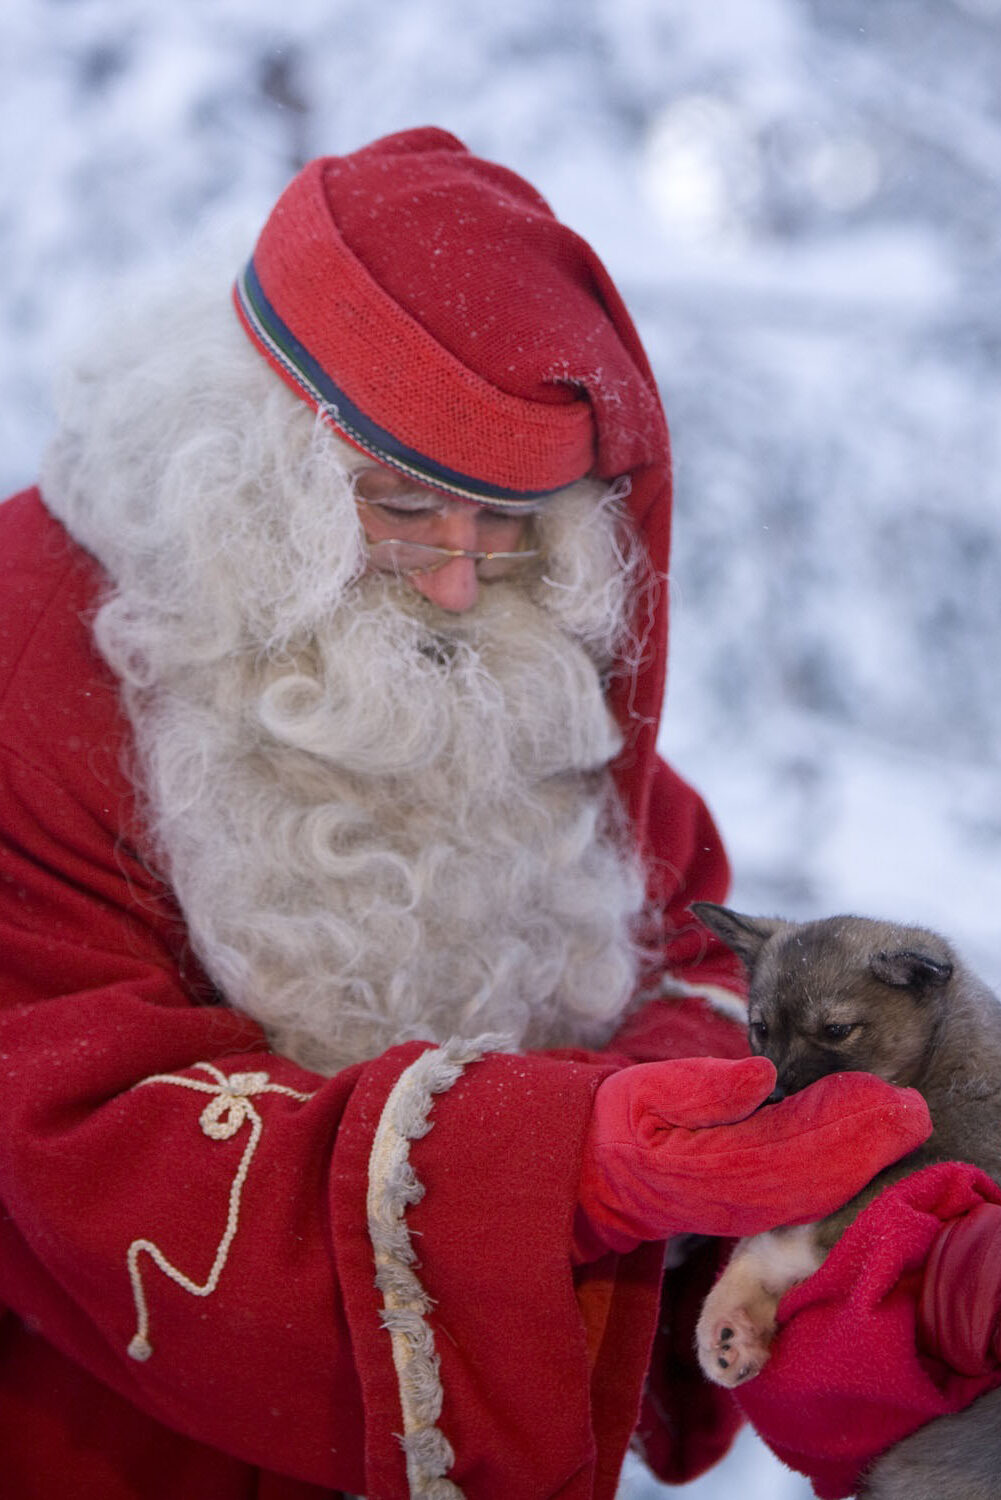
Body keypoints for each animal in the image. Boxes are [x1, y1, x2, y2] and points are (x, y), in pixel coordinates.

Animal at [693, 900, 1001, 1500]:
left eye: (836, 1030)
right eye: (760, 1028)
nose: (775, 1099)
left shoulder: (959, 1155)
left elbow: (795, 1235)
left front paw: (731, 1311)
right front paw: (733, 1324)